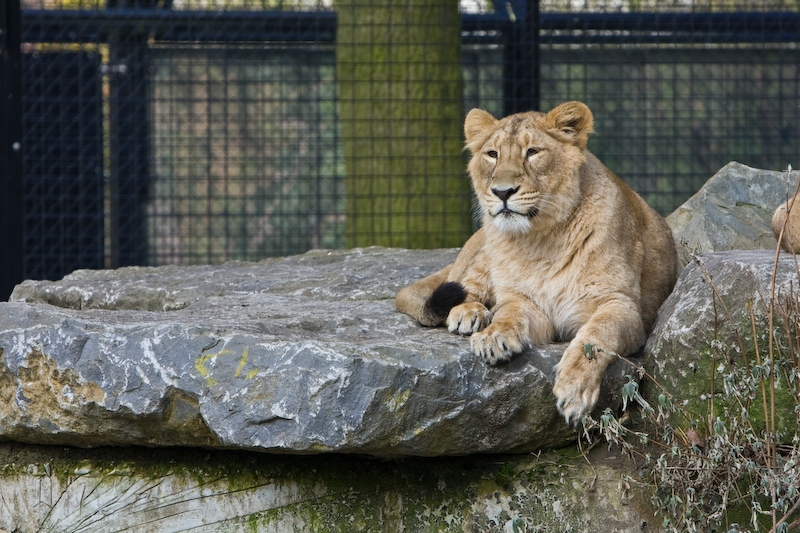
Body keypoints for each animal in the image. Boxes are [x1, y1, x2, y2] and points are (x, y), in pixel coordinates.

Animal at [396, 101, 678, 424]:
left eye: (532, 152)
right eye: (492, 154)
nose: (502, 192)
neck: (541, 240)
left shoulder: (622, 306)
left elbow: (596, 337)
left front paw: (574, 389)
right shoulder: (527, 301)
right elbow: (509, 312)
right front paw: (493, 336)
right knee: (464, 285)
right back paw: (469, 313)